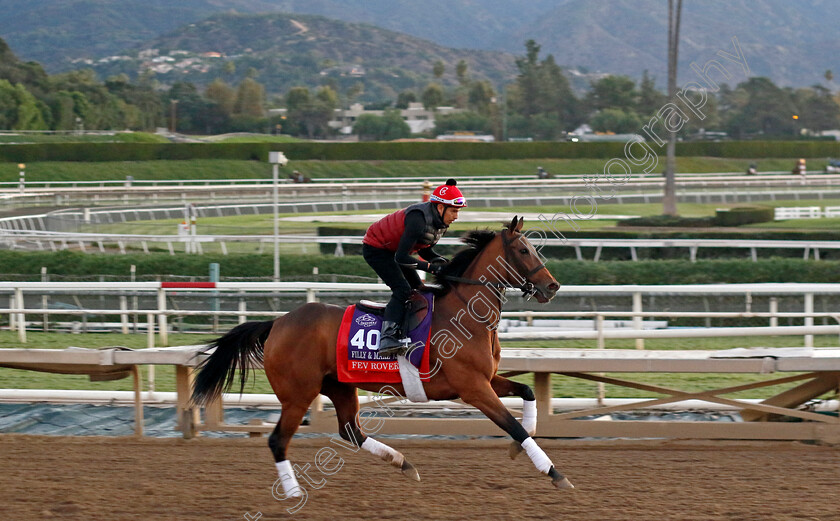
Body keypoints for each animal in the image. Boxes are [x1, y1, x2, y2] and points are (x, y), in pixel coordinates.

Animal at [191, 215, 576, 496]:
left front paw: (520, 448)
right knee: (278, 441)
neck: (467, 314)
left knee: (351, 431)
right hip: (297, 394)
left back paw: (404, 463)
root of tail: (278, 322)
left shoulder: (487, 379)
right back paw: (294, 493)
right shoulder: (473, 388)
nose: (553, 286)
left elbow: (527, 394)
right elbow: (514, 426)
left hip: (340, 386)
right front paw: (555, 472)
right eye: (524, 250)